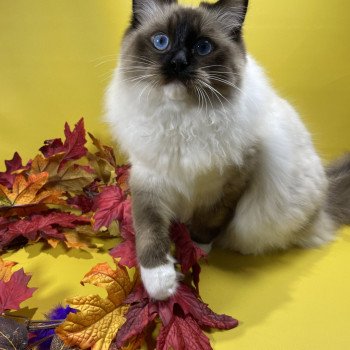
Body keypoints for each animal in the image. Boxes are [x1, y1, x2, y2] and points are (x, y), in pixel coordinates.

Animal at [104, 0, 350, 300]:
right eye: (161, 42)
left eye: (203, 47)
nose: (178, 62)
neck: (181, 121)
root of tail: (325, 201)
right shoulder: (150, 177)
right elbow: (149, 231)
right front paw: (160, 284)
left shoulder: (232, 181)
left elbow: (208, 222)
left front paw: (196, 250)